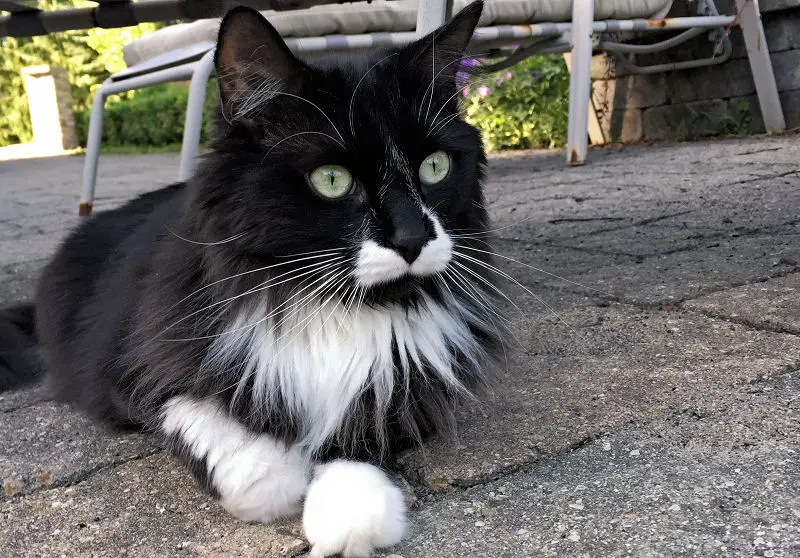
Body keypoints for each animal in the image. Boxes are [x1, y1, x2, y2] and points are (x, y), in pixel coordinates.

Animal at [0, 2, 500, 556]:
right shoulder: (132, 372)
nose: (412, 238)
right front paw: (287, 476)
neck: (326, 304)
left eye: (434, 167)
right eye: (332, 180)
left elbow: (362, 427)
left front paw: (349, 513)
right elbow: (235, 455)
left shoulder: (408, 379)